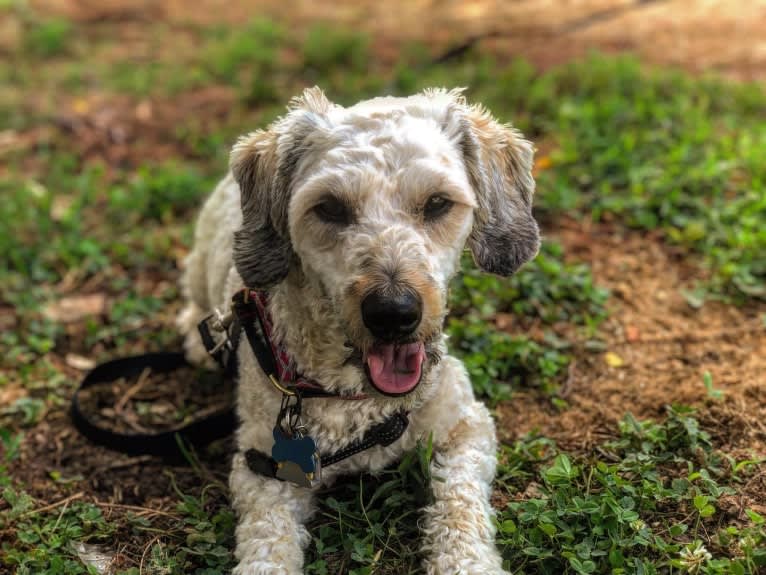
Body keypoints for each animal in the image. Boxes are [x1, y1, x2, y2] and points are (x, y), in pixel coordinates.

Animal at [178, 86, 540, 575]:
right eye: (329, 207)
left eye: (437, 203)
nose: (393, 313)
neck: (356, 398)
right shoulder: (263, 469)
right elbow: (267, 543)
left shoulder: (466, 426)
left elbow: (459, 507)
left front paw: (468, 563)